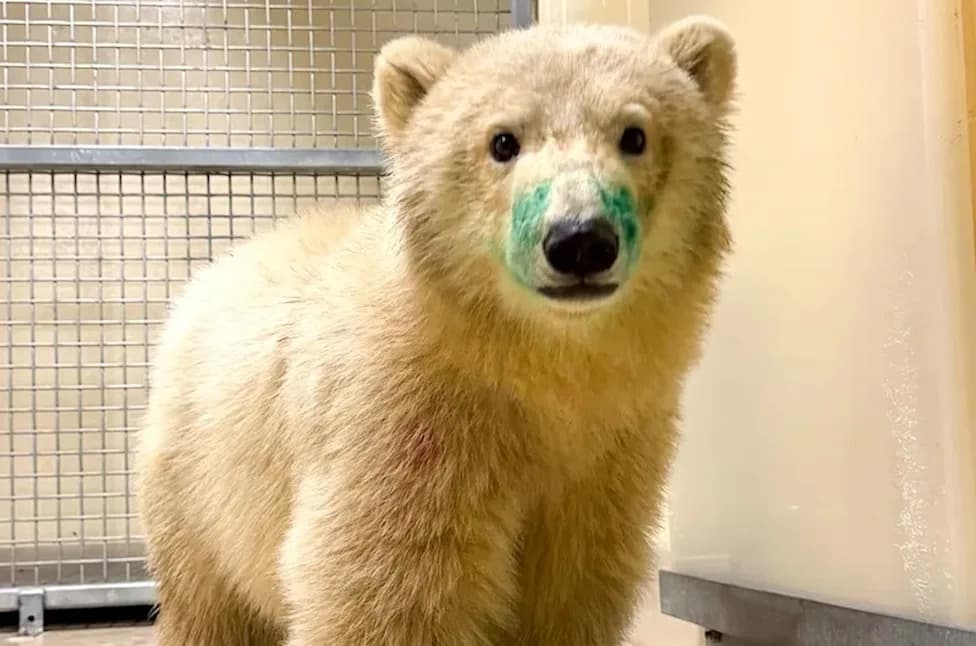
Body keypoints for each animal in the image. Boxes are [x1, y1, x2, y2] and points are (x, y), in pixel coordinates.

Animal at [136, 15, 737, 646]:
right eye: (503, 141)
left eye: (634, 134)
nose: (579, 239)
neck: (527, 366)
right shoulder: (407, 424)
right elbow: (387, 581)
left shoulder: (615, 444)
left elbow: (572, 582)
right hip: (197, 482)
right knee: (210, 604)